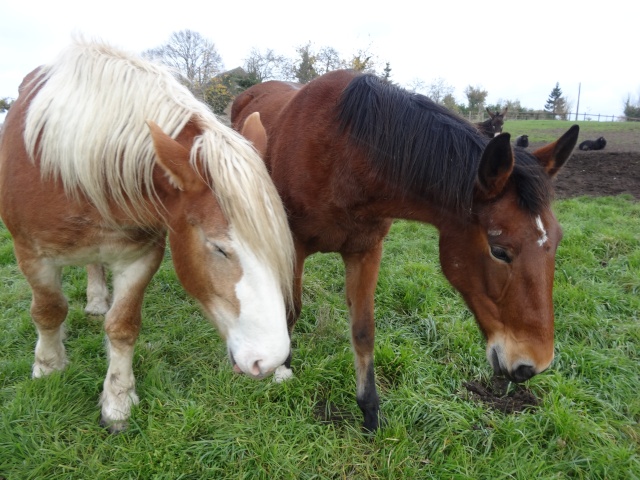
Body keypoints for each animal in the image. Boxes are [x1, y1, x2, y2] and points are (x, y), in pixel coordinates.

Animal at [0, 39, 296, 434]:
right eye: (218, 248)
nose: (272, 360)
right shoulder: (31, 254)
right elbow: (48, 311)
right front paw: (48, 369)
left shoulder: (139, 256)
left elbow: (123, 327)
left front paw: (118, 401)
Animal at [231, 70, 580, 432]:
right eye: (499, 251)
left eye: (556, 241)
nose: (534, 364)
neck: (342, 155)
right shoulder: (294, 246)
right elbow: (291, 309)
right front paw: (282, 370)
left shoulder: (366, 251)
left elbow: (363, 330)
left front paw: (370, 411)